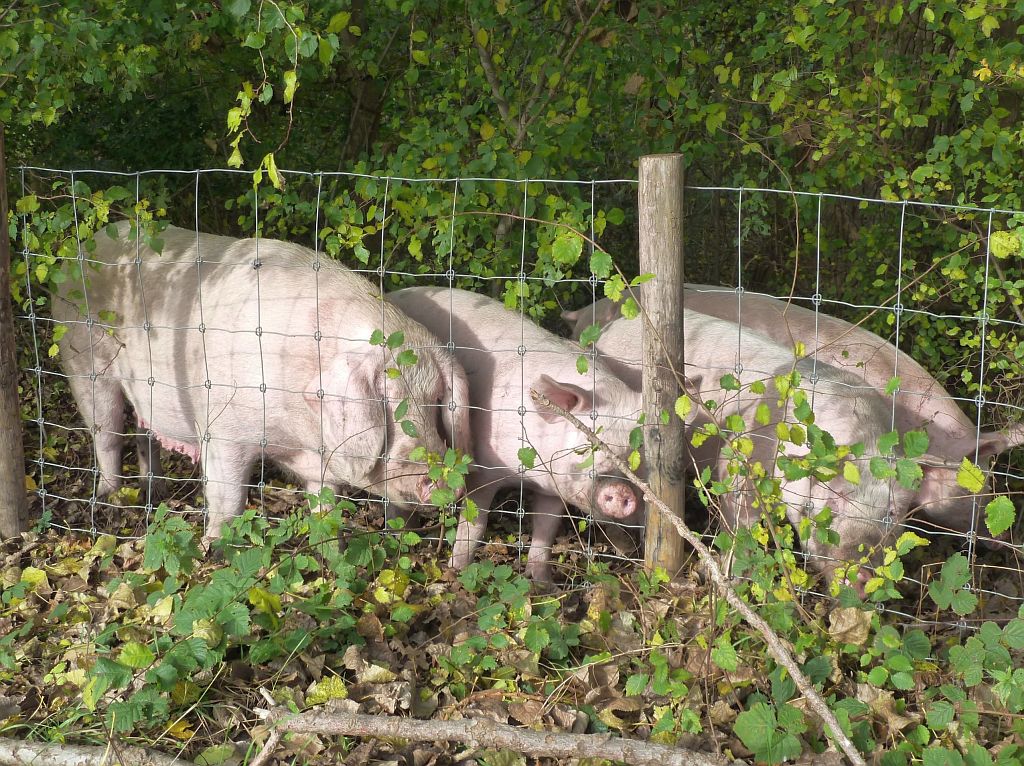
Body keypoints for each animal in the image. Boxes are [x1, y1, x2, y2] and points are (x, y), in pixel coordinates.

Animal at [54, 221, 468, 536]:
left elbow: (325, 502)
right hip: (83, 360)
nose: (445, 481)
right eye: (389, 403)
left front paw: (326, 540)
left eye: (435, 402)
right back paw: (112, 499)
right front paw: (216, 548)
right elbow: (228, 498)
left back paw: (152, 490)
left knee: (145, 435)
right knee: (106, 434)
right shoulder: (222, 428)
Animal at [387, 286, 643, 581]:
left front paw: (542, 582)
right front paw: (458, 571)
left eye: (636, 453)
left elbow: (546, 529)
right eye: (586, 442)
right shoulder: (482, 469)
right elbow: (474, 525)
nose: (621, 489)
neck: (531, 476)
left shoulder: (554, 489)